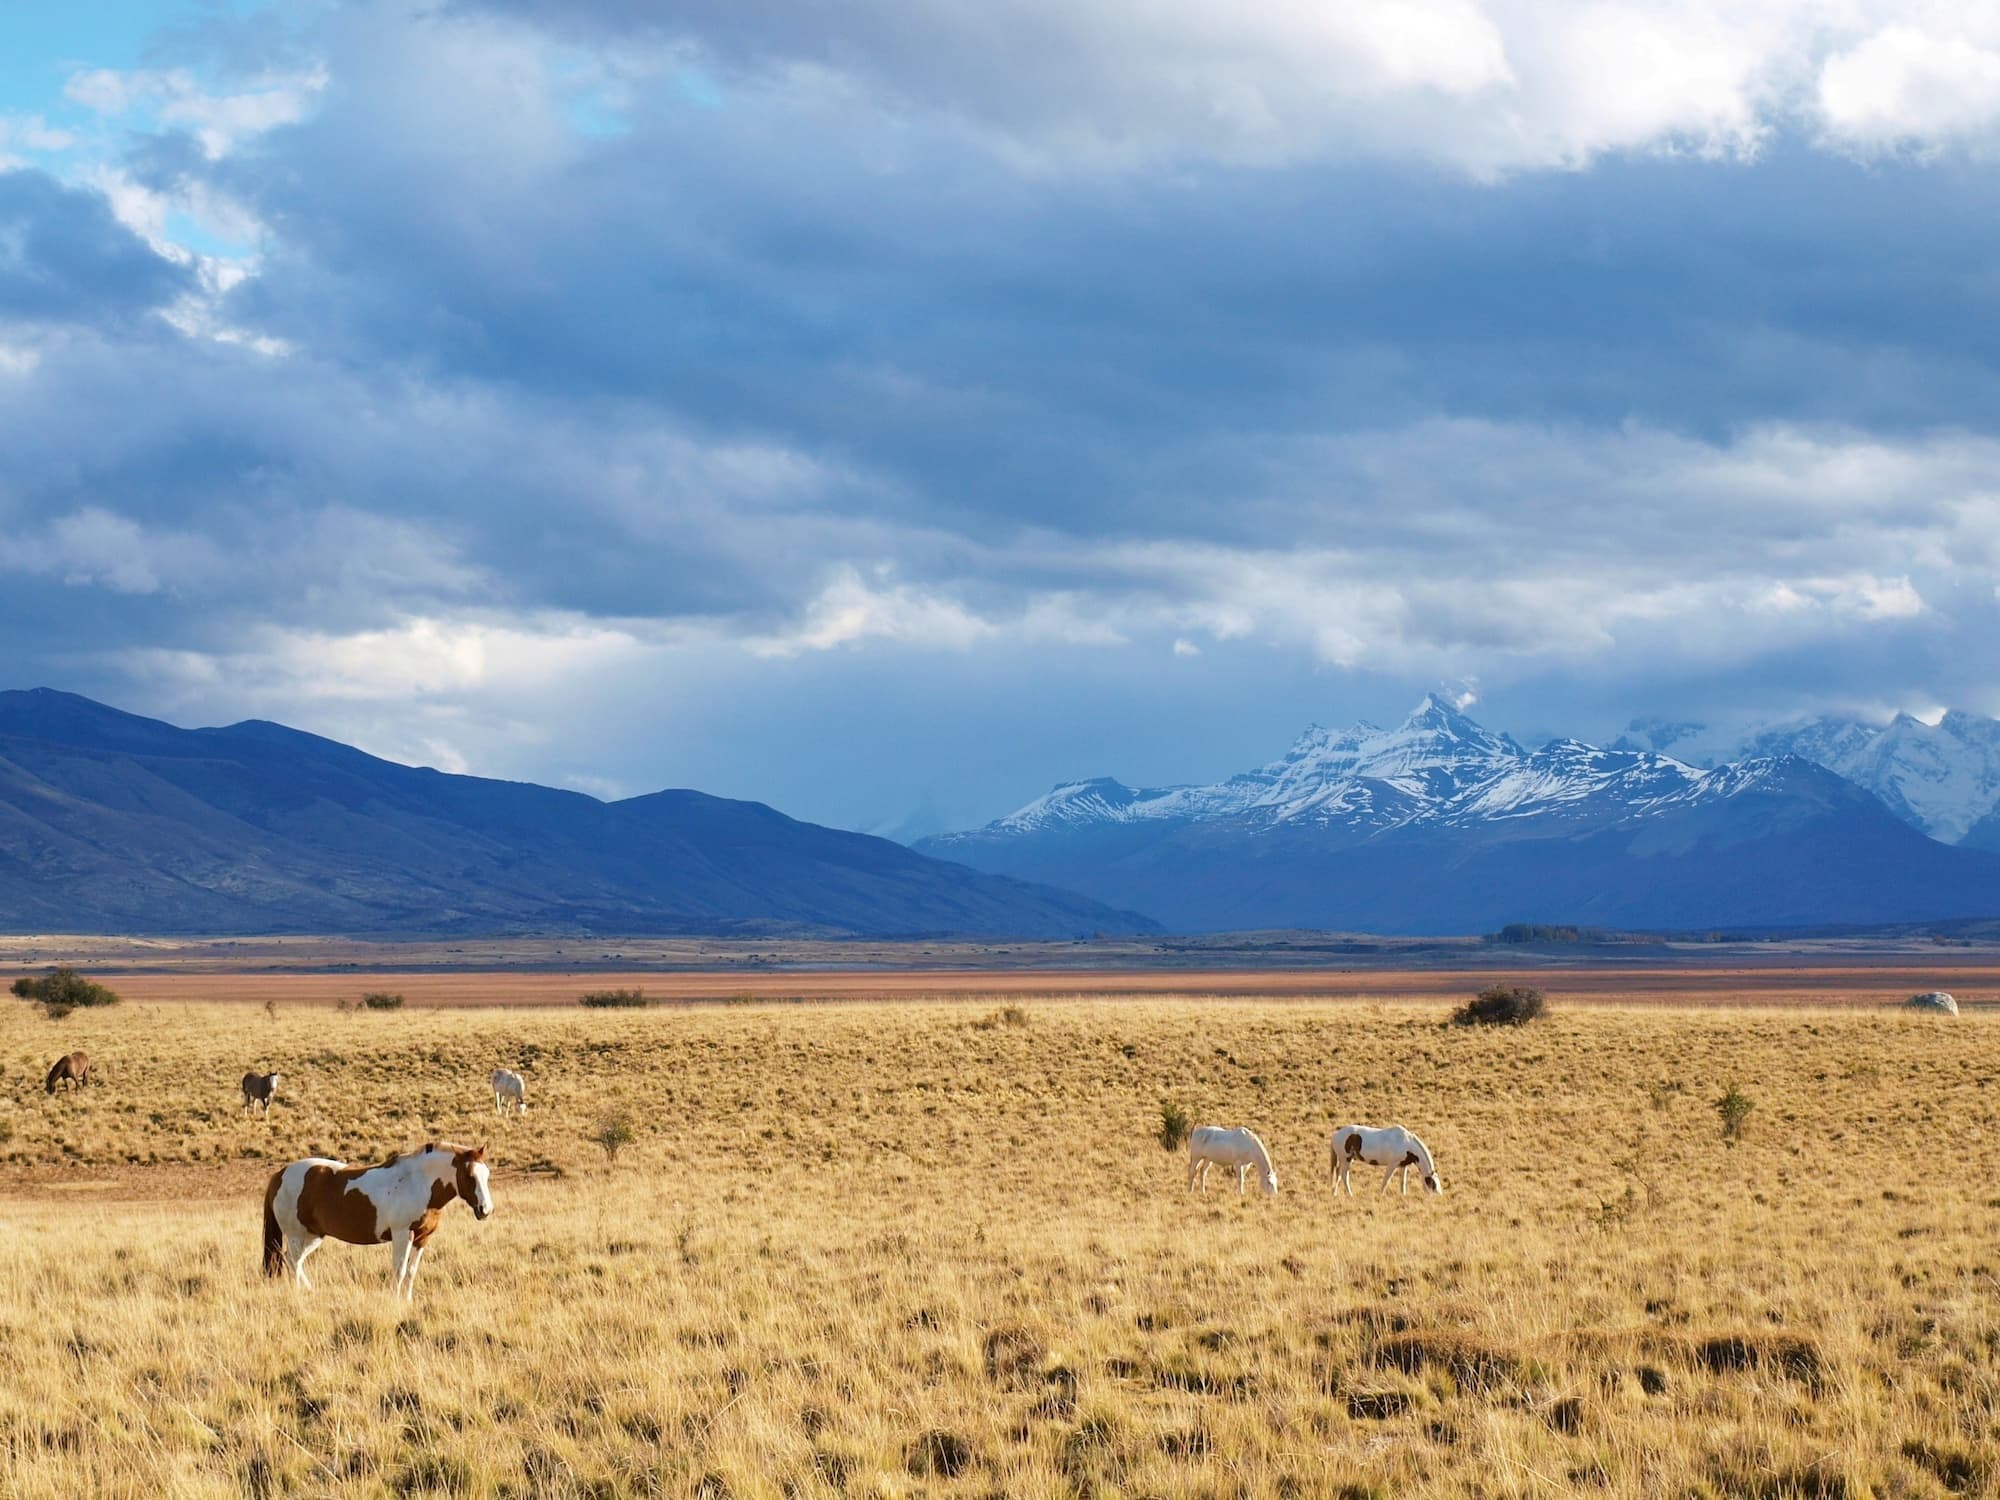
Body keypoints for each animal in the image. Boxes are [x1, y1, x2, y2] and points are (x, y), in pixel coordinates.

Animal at [262, 1144, 492, 1296]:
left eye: (487, 1174)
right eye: (470, 1176)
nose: (486, 1209)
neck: (418, 1182)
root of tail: (280, 1174)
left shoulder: (422, 1238)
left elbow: (411, 1272)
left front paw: (407, 1302)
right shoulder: (402, 1235)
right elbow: (399, 1272)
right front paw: (396, 1302)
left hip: (313, 1235)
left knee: (293, 1261)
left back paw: (310, 1292)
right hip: (296, 1235)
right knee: (293, 1261)